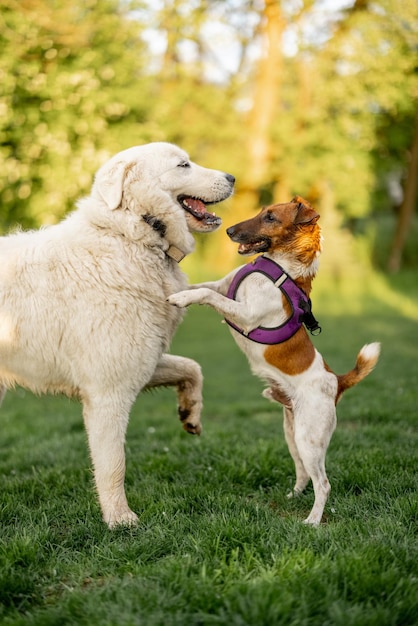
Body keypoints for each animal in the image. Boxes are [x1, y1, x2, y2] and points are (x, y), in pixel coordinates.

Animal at [0, 143, 235, 528]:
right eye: (183, 165)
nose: (232, 178)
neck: (131, 234)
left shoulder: (140, 362)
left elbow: (192, 368)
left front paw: (190, 414)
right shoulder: (108, 392)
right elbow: (113, 465)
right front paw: (120, 520)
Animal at [168, 196, 380, 528]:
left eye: (270, 217)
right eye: (261, 211)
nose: (229, 230)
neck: (280, 267)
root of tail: (337, 381)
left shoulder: (245, 314)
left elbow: (205, 294)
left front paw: (179, 300)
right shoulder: (222, 285)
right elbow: (198, 286)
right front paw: (172, 290)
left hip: (309, 438)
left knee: (323, 484)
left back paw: (312, 520)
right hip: (293, 435)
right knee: (304, 474)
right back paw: (294, 496)